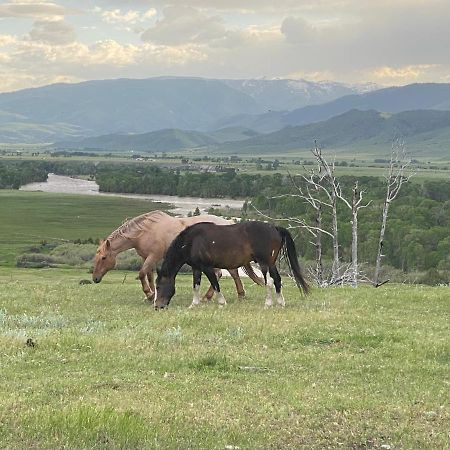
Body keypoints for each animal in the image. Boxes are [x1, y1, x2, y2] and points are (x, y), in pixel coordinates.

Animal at [155, 221, 310, 310]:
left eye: (158, 286)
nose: (157, 306)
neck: (192, 241)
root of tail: (275, 228)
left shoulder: (207, 267)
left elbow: (215, 284)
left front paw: (222, 302)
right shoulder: (197, 268)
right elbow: (196, 286)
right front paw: (194, 304)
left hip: (265, 263)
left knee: (270, 282)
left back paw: (268, 304)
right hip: (271, 264)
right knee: (277, 280)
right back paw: (281, 303)